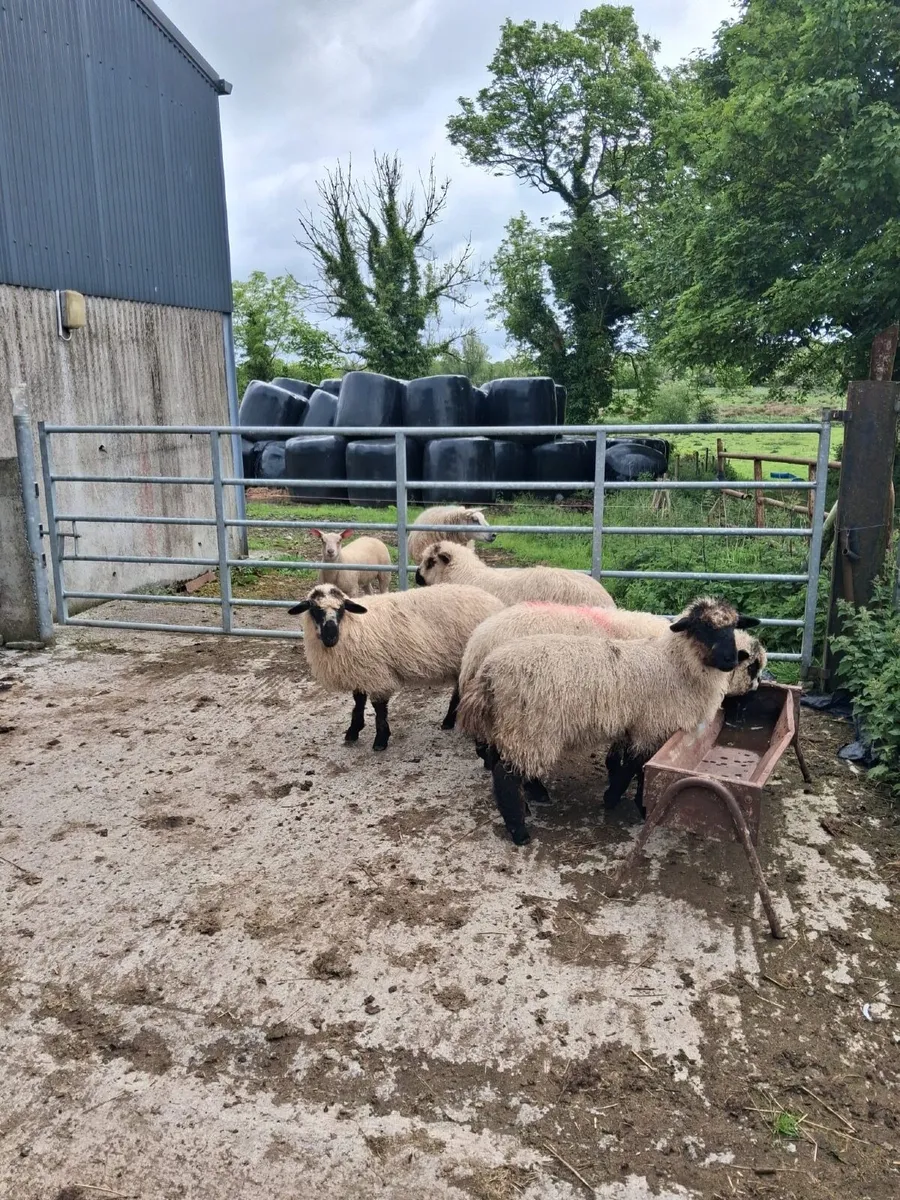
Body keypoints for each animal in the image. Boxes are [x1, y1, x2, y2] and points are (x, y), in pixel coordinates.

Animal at [288, 582, 505, 751]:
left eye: (341, 609)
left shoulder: (376, 671)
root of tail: (495, 603)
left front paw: (380, 740)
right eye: (315, 609)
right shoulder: (360, 670)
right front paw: (353, 731)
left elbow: (379, 708)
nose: (331, 636)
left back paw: (449, 721)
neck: (354, 625)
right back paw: (449, 721)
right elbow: (358, 701)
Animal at [456, 596, 760, 844]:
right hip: (530, 729)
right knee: (505, 776)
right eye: (703, 628)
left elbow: (635, 765)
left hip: (510, 726)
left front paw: (632, 799)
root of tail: (488, 672)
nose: (730, 660)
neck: (673, 665)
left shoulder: (639, 727)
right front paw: (617, 798)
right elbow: (636, 766)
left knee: (500, 763)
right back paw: (520, 831)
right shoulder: (651, 726)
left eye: (732, 628)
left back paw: (532, 799)